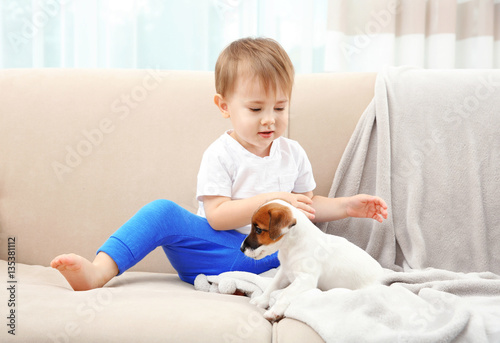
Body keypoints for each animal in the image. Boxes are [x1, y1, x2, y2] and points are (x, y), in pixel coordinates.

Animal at [240, 199, 384, 322]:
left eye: (258, 229)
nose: (241, 249)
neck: (292, 247)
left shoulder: (306, 279)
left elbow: (285, 293)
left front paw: (274, 311)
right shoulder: (284, 271)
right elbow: (272, 286)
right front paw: (262, 300)